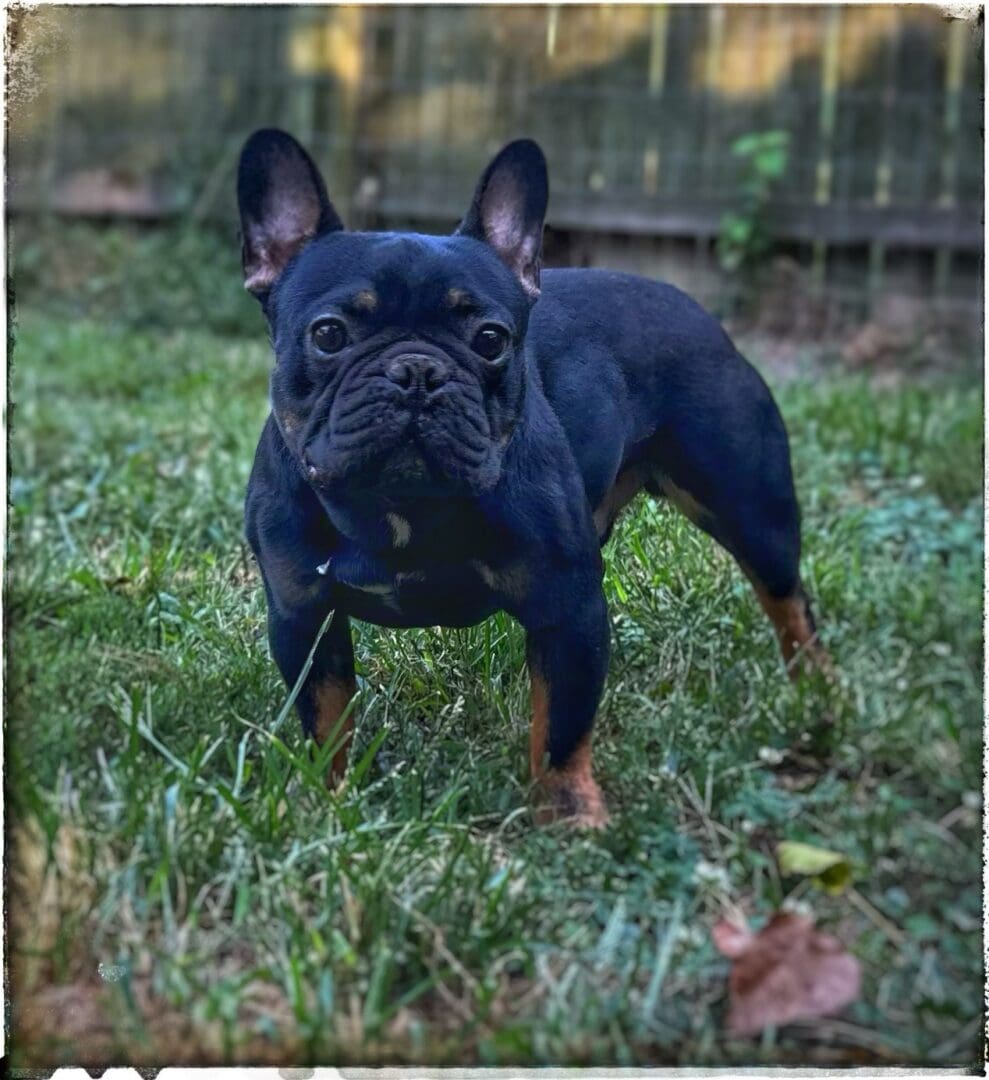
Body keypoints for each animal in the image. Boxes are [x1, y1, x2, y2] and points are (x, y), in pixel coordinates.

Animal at [237, 128, 824, 825]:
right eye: (328, 333)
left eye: (491, 339)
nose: (417, 371)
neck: (402, 505)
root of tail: (698, 312)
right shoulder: (303, 615)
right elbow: (325, 718)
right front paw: (328, 799)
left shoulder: (568, 611)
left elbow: (563, 726)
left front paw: (570, 814)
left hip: (750, 508)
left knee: (790, 602)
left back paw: (817, 692)